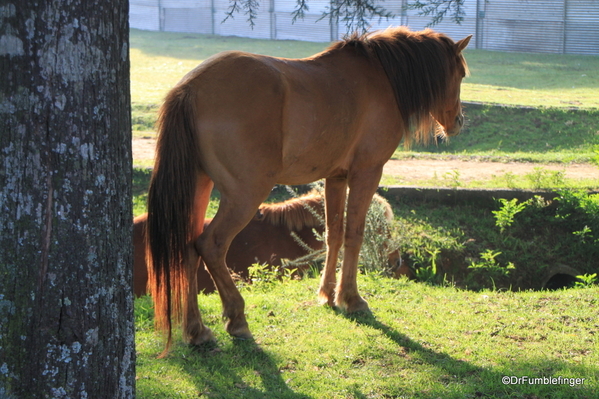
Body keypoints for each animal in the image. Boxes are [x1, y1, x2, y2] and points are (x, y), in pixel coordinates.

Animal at [146, 26, 474, 350]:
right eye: (460, 74)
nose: (458, 123)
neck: (380, 76)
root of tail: (191, 89)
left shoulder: (336, 178)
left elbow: (334, 235)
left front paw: (328, 295)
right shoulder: (366, 173)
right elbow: (354, 234)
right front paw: (351, 298)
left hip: (199, 187)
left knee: (188, 249)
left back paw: (197, 330)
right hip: (244, 196)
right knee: (210, 246)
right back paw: (236, 319)